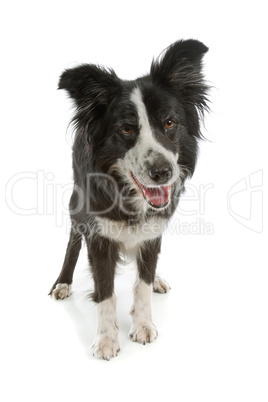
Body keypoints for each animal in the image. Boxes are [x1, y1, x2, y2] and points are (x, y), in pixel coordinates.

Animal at [49, 40, 209, 362]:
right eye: (126, 128)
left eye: (170, 122)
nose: (163, 172)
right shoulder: (98, 235)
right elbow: (105, 291)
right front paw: (106, 339)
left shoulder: (154, 229)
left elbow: (142, 282)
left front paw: (144, 324)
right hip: (76, 203)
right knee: (73, 240)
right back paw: (62, 282)